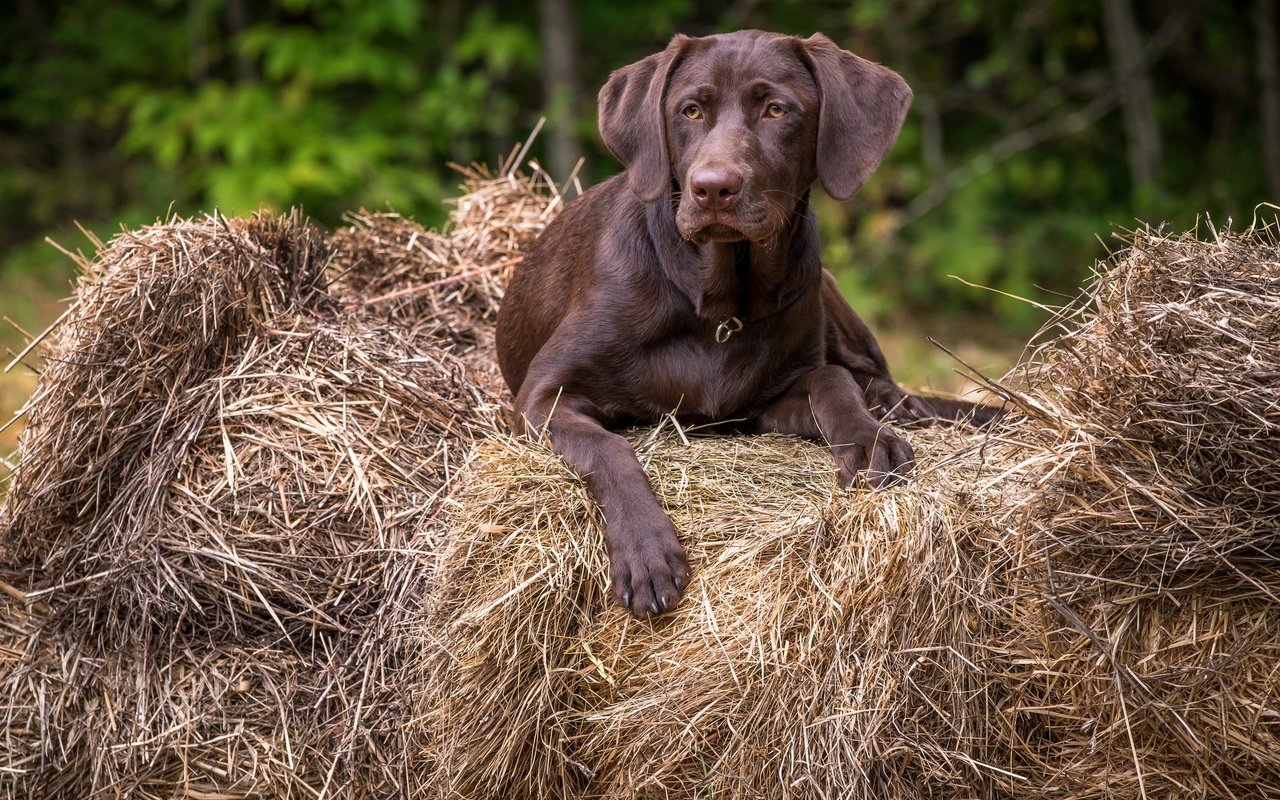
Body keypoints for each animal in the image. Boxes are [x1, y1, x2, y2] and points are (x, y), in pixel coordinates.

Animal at [494, 29, 993, 616]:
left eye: (776, 109)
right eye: (690, 110)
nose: (713, 188)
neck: (718, 306)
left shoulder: (758, 406)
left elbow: (831, 379)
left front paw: (870, 438)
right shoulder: (541, 397)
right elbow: (609, 448)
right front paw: (646, 549)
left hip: (821, 284)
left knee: (869, 370)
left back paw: (897, 404)